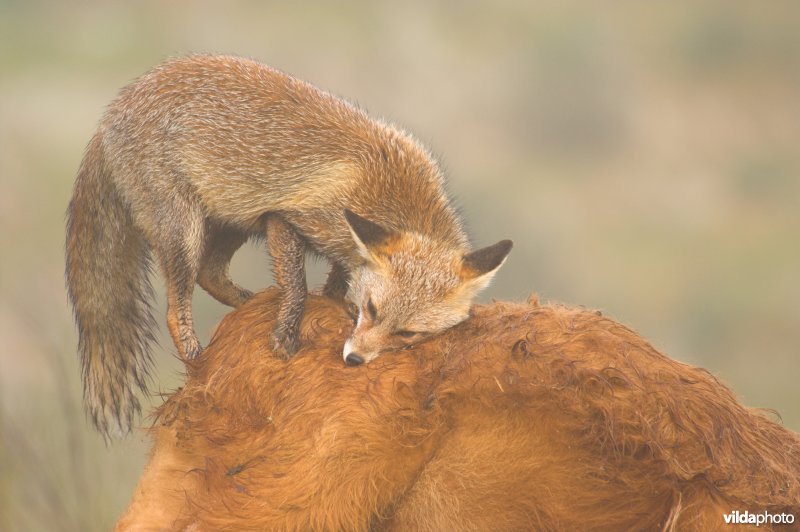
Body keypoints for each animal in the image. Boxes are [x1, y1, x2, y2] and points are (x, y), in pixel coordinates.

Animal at [64, 53, 512, 440]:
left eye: (408, 333)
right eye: (372, 311)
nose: (353, 360)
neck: (391, 190)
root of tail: (113, 110)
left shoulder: (337, 242)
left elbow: (334, 284)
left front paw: (329, 306)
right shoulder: (287, 217)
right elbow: (297, 286)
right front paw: (285, 335)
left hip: (234, 217)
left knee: (211, 274)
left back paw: (249, 305)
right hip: (186, 230)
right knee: (177, 308)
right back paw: (197, 353)